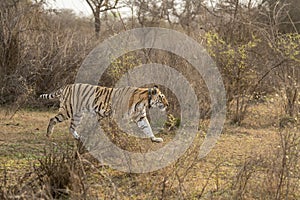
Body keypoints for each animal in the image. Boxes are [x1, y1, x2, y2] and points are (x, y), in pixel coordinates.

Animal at [39, 83, 169, 142]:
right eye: (162, 97)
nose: (168, 104)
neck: (144, 102)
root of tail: (66, 86)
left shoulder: (140, 117)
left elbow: (148, 128)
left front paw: (155, 139)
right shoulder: (120, 117)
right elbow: (120, 130)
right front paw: (122, 139)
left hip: (78, 114)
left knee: (71, 127)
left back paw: (78, 137)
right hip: (67, 110)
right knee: (53, 119)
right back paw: (48, 134)